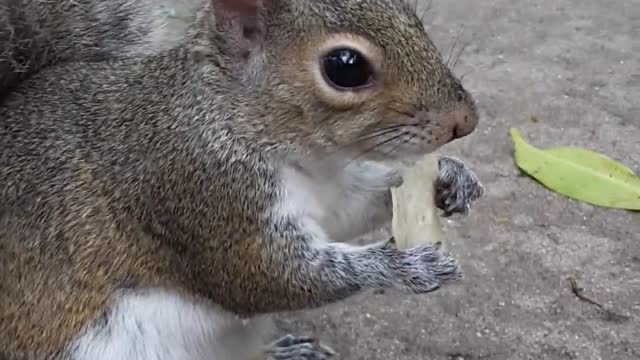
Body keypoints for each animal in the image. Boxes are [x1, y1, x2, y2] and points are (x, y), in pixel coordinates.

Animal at [0, 0, 482, 360]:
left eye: (414, 17)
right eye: (345, 66)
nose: (465, 121)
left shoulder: (330, 189)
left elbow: (349, 211)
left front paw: (451, 178)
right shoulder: (196, 188)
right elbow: (265, 276)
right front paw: (404, 266)